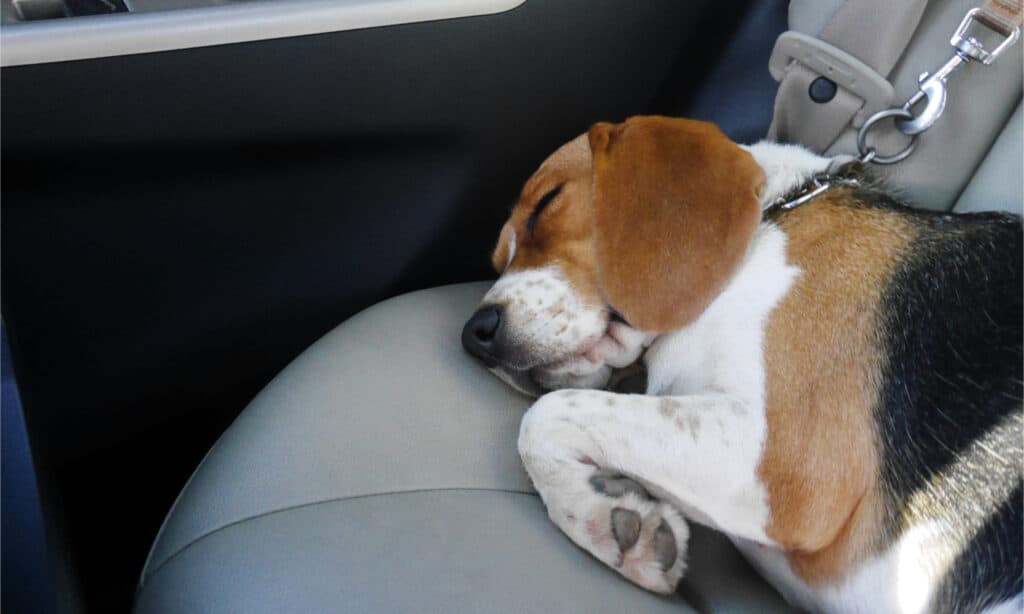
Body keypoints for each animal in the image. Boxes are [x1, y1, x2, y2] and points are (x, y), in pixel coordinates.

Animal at [464, 116, 1024, 614]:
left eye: (545, 205)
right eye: (495, 261)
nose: (475, 334)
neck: (770, 221)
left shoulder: (789, 464)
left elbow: (543, 416)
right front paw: (608, 515)